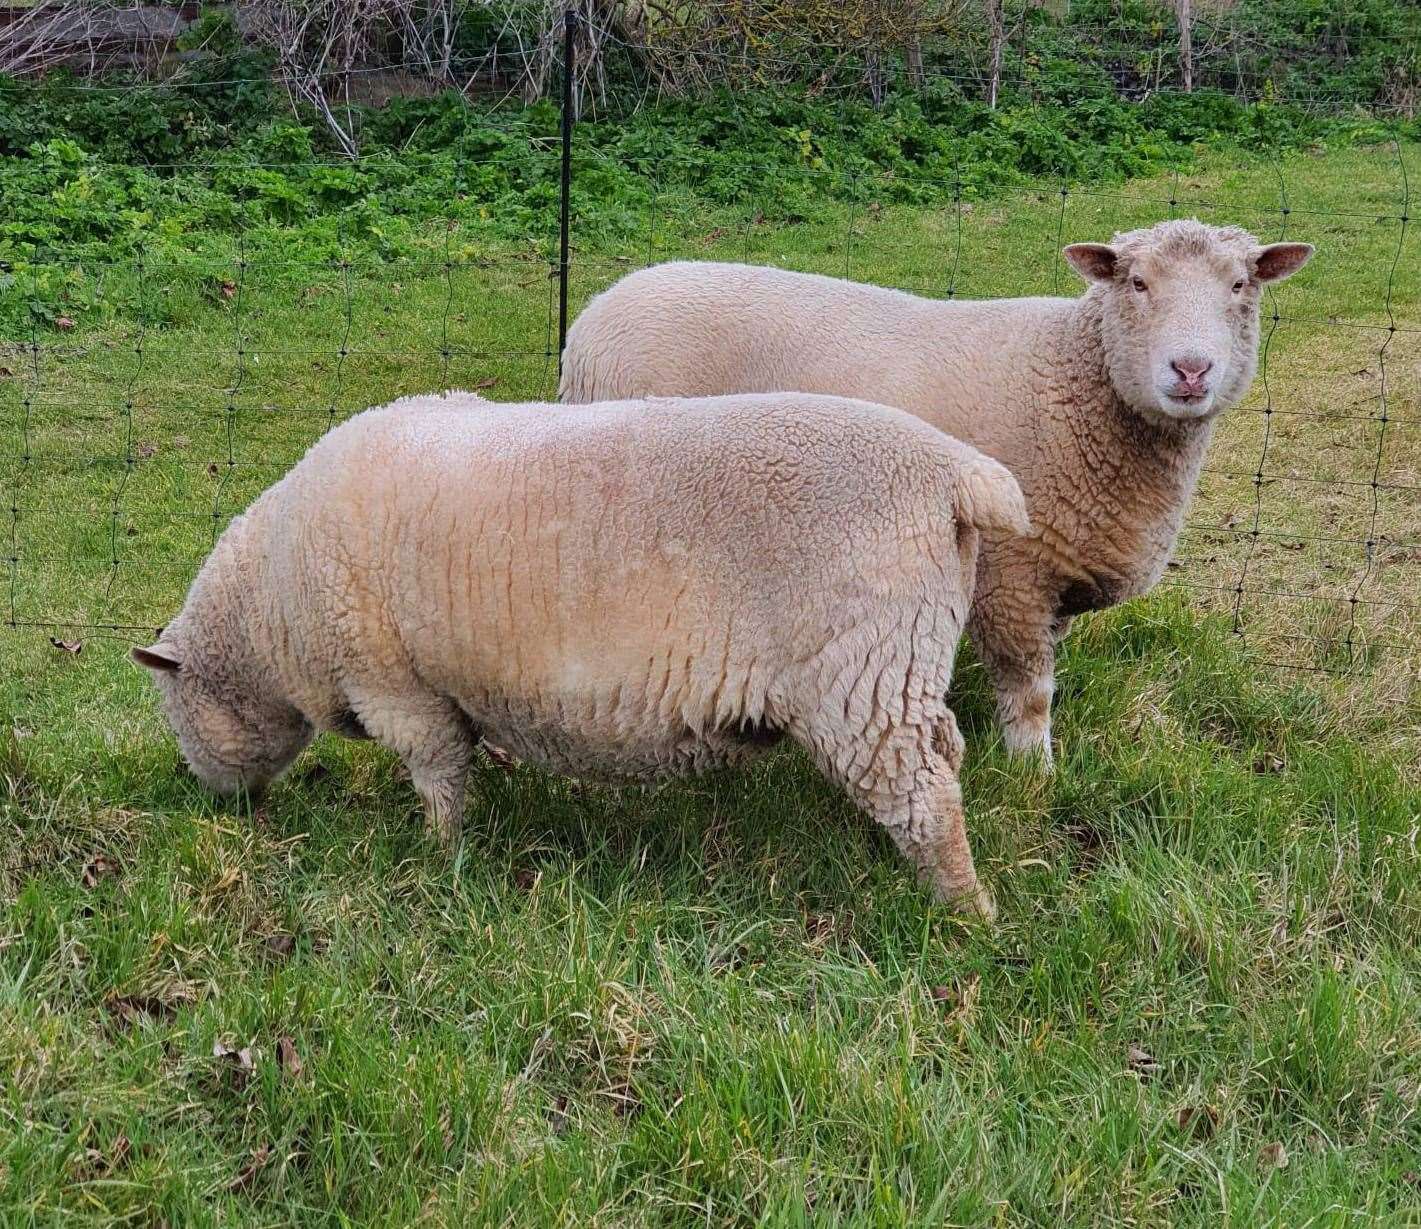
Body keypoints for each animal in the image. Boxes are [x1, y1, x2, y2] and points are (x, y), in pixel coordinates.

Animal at [133, 389, 1034, 915]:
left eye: (173, 707)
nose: (220, 804)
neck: (268, 606)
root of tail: (954, 474)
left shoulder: (396, 684)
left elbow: (437, 777)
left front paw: (437, 855)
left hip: (863, 671)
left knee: (925, 794)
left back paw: (962, 913)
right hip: (900, 663)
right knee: (935, 761)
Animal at [559, 215, 1313, 761]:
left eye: (1241, 285)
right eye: (1135, 282)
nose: (1191, 369)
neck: (1077, 376)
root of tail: (592, 317)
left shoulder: (1056, 571)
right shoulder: (1012, 572)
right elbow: (1031, 693)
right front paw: (1032, 774)